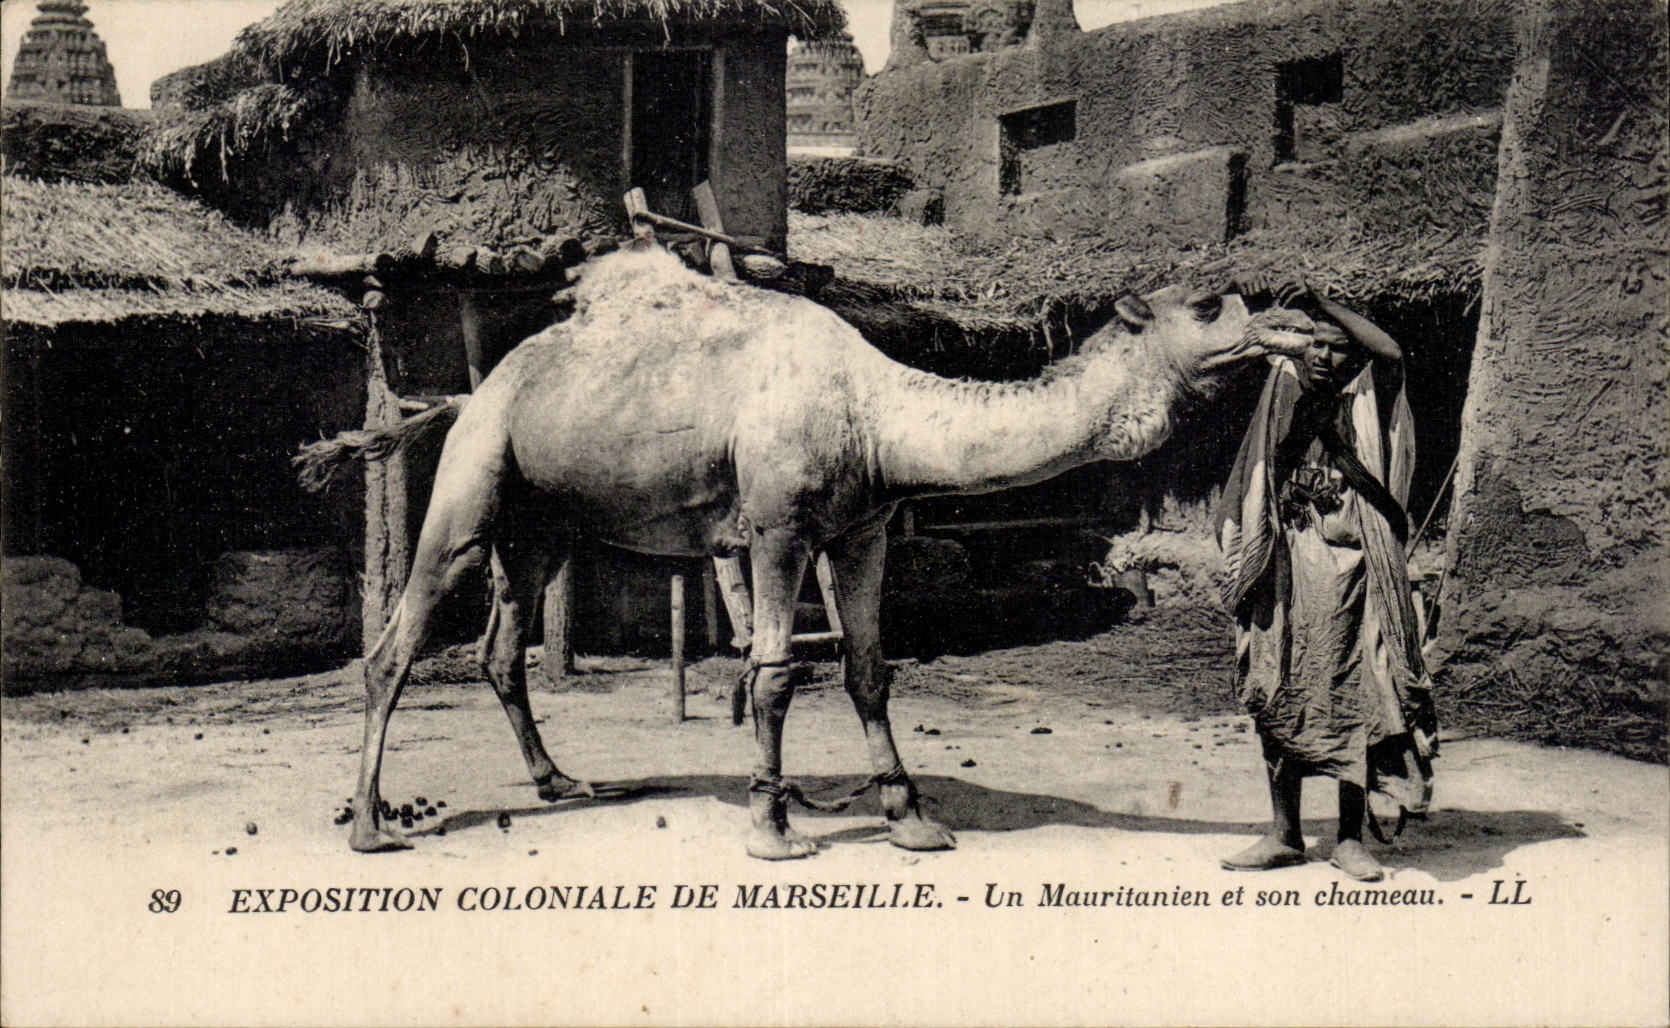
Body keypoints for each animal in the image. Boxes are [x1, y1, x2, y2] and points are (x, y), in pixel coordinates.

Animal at [302, 247, 1314, 859]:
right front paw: (773, 824)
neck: (872, 412)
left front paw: (911, 819)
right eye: (1213, 303)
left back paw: (560, 782)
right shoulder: (776, 528)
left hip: (542, 525)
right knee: (397, 645)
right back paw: (370, 828)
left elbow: (868, 668)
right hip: (473, 480)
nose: (1299, 325)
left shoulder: (860, 530)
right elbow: (776, 674)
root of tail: (467, 394)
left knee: (500, 647)